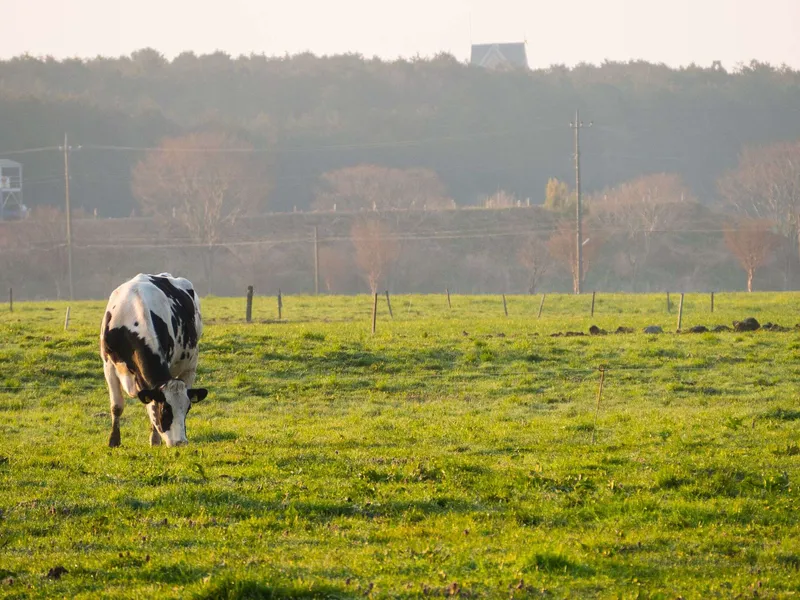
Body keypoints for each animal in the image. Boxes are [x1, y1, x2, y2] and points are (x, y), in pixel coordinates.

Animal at [100, 274, 208, 448]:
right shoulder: (108, 365)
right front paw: (114, 441)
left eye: (188, 409)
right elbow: (117, 406)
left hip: (190, 366)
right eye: (165, 410)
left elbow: (150, 407)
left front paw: (155, 440)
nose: (181, 442)